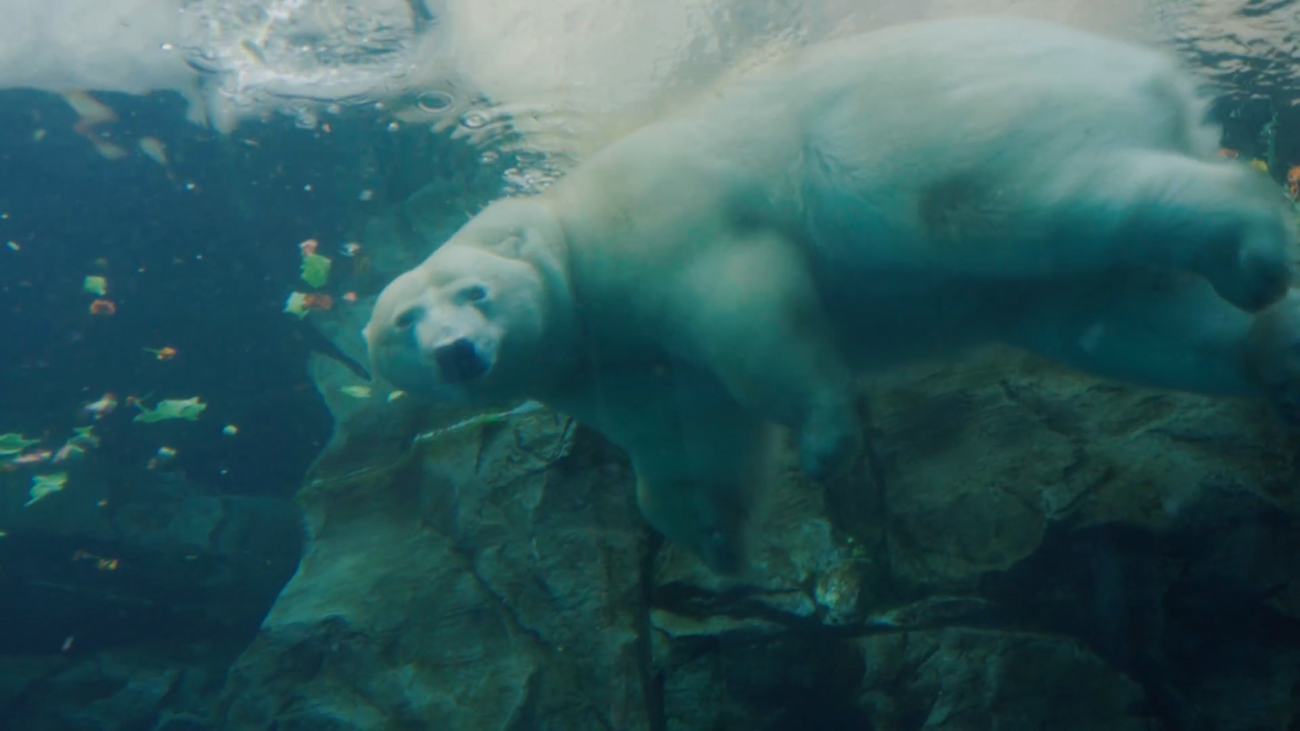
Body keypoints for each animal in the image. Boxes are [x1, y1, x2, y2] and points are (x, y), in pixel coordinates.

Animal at [365, 16, 1299, 575]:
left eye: (475, 292)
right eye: (405, 321)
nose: (456, 352)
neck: (573, 232)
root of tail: (1147, 71)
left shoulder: (664, 224)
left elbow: (745, 309)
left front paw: (824, 440)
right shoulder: (620, 362)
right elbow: (693, 432)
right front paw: (713, 539)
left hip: (954, 128)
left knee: (1019, 203)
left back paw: (1255, 242)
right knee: (1132, 315)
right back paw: (1270, 349)